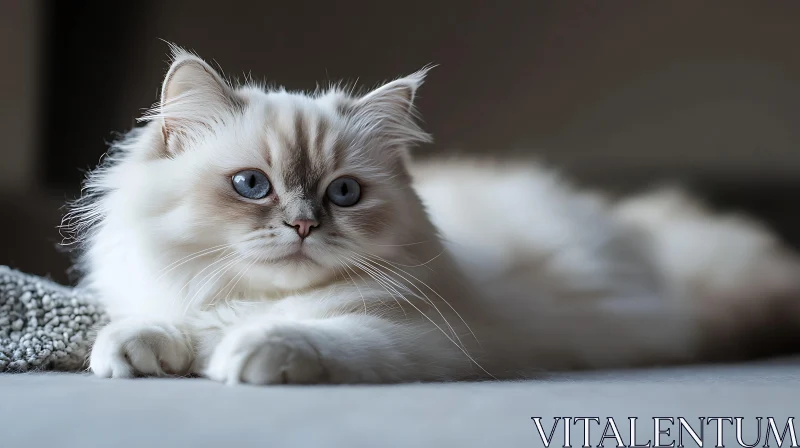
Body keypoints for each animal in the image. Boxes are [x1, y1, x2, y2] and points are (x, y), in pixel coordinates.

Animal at [62, 47, 800, 384]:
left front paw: (243, 354)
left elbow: (308, 335)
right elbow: (161, 323)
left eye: (343, 194)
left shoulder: (421, 339)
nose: (303, 225)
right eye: (252, 185)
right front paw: (132, 352)